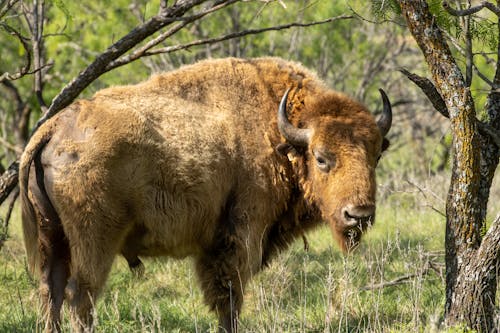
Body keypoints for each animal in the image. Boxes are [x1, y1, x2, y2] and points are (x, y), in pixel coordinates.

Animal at [19, 57, 392, 332]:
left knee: (51, 290)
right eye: (321, 157)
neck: (276, 131)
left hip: (52, 236)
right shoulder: (240, 237)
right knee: (81, 294)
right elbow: (229, 298)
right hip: (95, 240)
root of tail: (53, 127)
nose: (358, 215)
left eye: (376, 155)